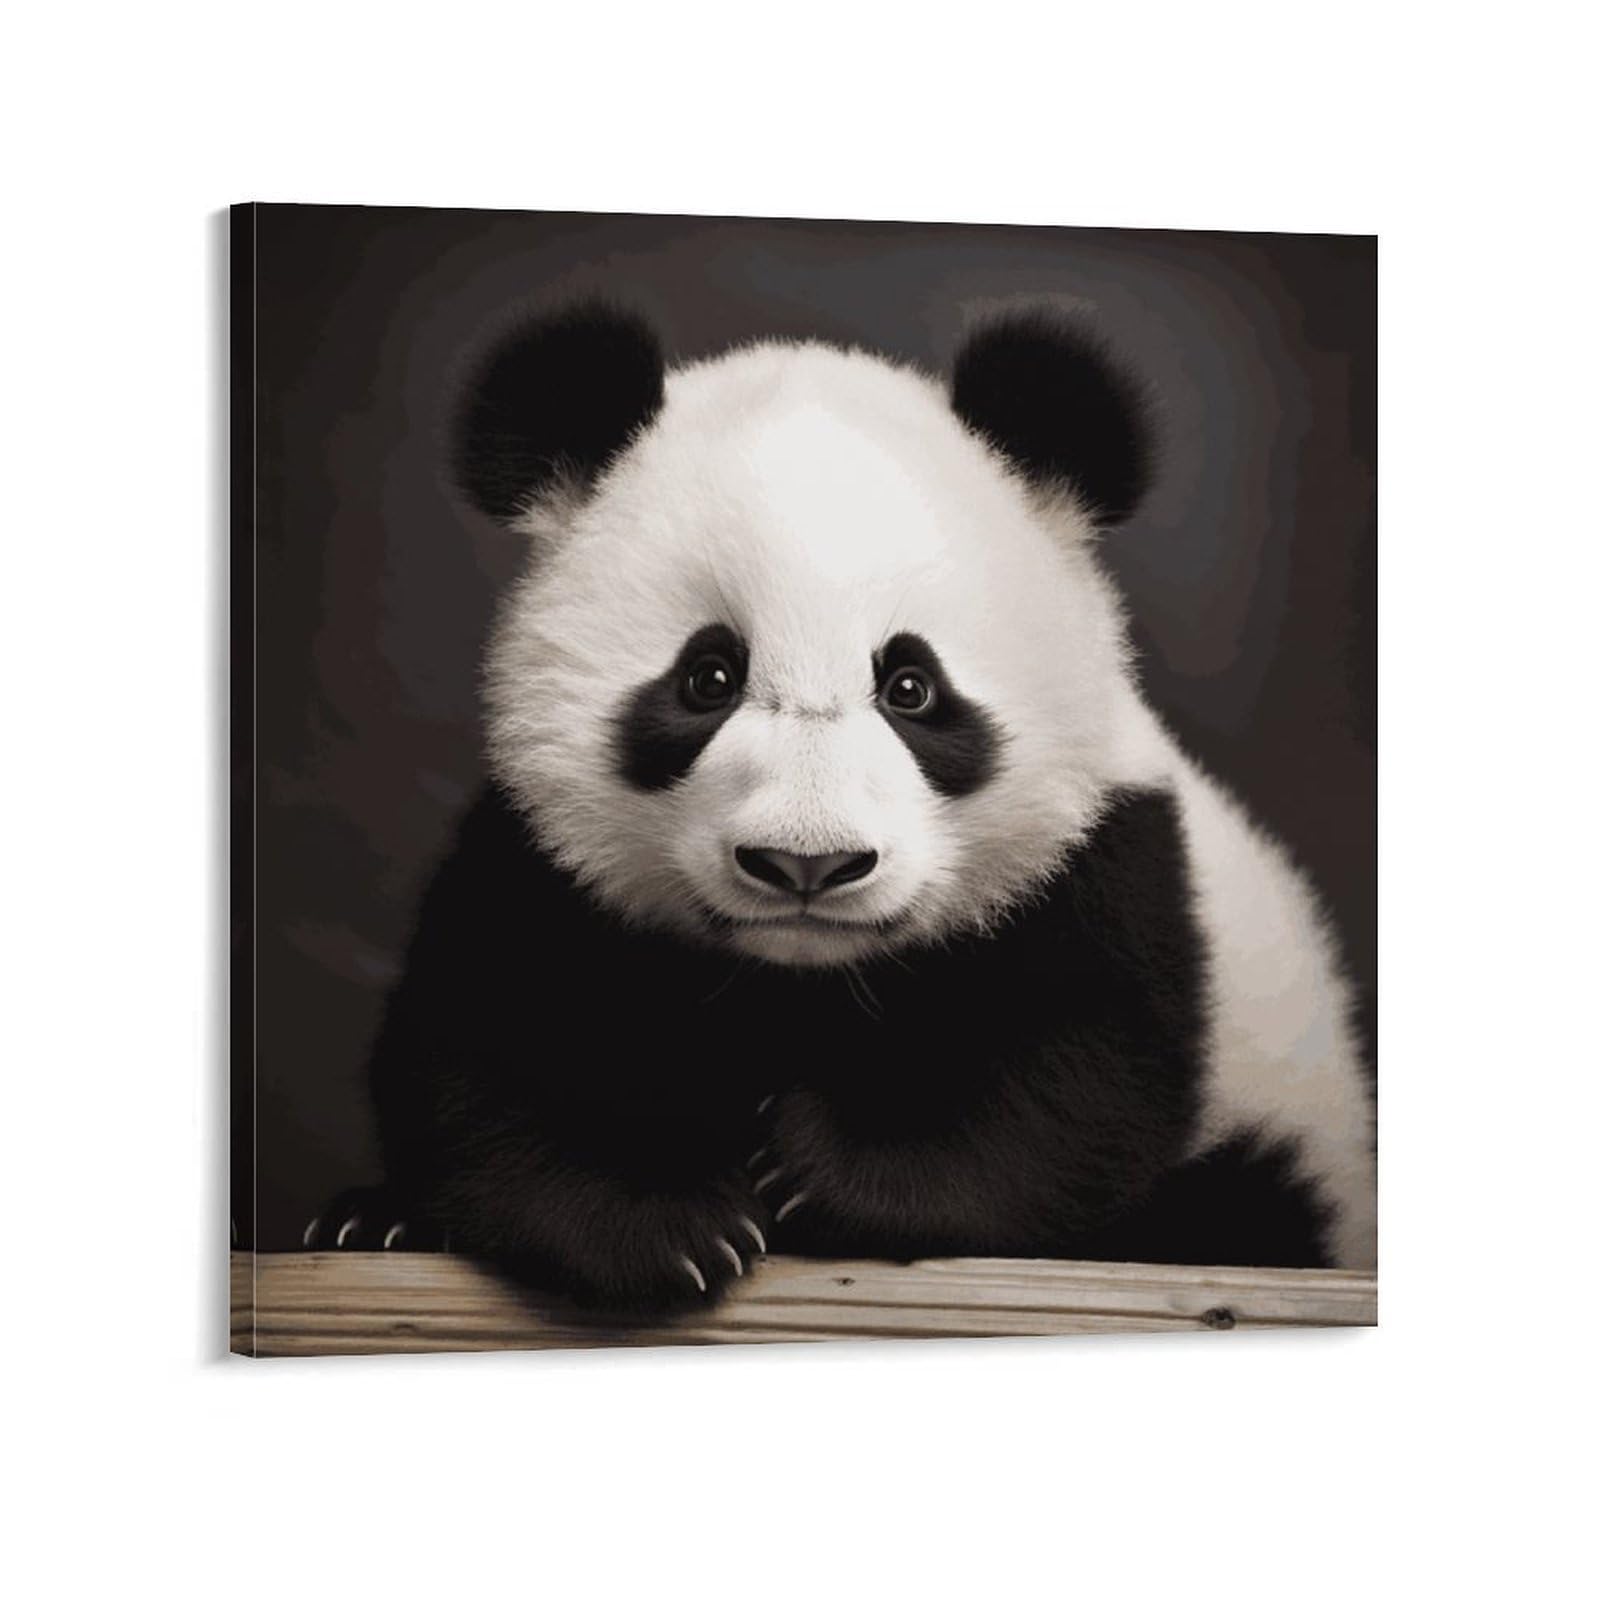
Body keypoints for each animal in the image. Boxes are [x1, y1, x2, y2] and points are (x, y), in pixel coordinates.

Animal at [310, 300, 1376, 1311]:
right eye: (708, 676)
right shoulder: (537, 861)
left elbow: (1079, 1083)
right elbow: (487, 1052)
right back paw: (375, 1223)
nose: (806, 864)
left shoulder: (1107, 855)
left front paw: (822, 1177)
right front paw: (670, 1223)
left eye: (911, 687)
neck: (801, 982)